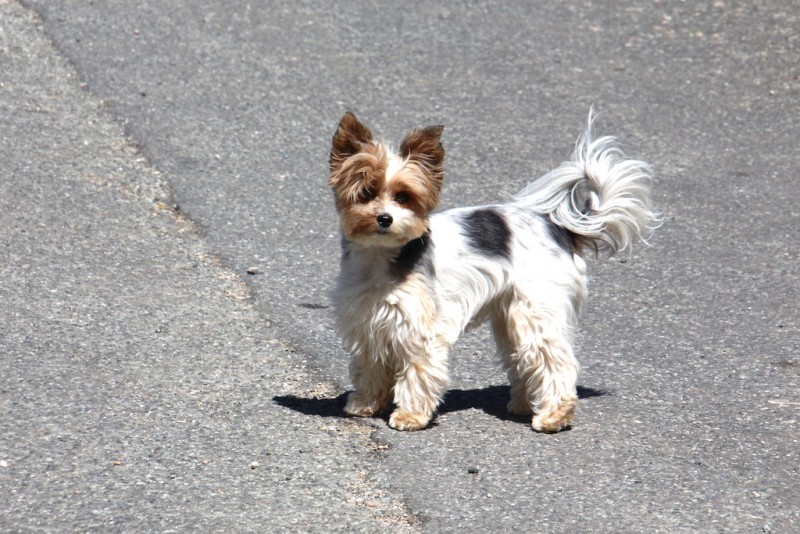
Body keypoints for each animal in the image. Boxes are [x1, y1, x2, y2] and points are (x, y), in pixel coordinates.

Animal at [326, 111, 656, 434]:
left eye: (403, 197)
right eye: (366, 192)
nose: (385, 218)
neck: (381, 257)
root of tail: (557, 228)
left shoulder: (420, 329)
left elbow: (418, 371)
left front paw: (410, 415)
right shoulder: (367, 321)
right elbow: (370, 367)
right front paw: (366, 403)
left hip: (536, 311)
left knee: (555, 361)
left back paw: (553, 416)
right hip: (510, 317)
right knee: (525, 358)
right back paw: (525, 404)